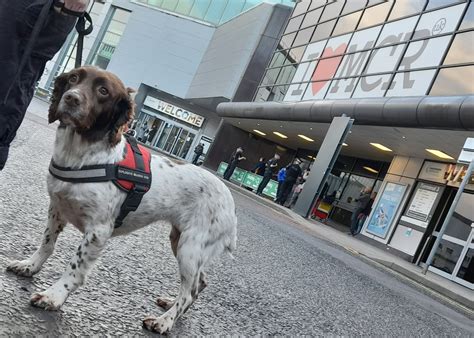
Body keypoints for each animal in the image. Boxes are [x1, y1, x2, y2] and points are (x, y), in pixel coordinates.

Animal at [7, 66, 237, 336]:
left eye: (103, 91)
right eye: (73, 78)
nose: (71, 98)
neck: (80, 155)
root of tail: (231, 204)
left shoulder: (98, 231)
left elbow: (75, 266)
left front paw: (54, 296)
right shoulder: (56, 209)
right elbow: (47, 244)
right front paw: (30, 266)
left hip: (190, 248)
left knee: (188, 292)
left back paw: (164, 321)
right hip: (180, 240)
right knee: (199, 282)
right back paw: (170, 304)